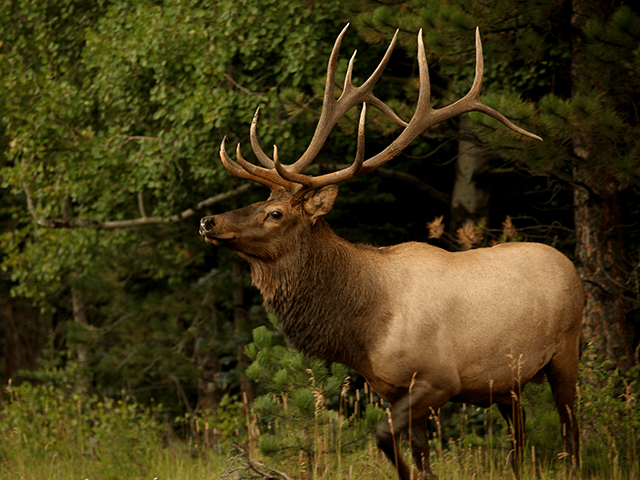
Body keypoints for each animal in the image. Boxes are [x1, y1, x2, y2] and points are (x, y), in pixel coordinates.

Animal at [199, 24, 584, 480]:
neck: (363, 330)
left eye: (274, 213)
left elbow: (384, 437)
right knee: (520, 431)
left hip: (566, 349)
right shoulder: (390, 387)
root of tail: (570, 264)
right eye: (259, 201)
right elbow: (419, 455)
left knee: (570, 426)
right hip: (506, 381)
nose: (208, 221)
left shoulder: (439, 379)